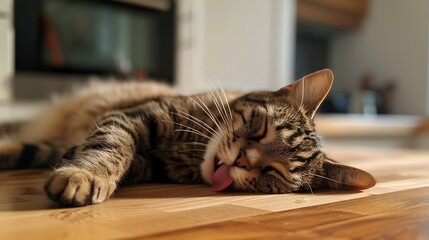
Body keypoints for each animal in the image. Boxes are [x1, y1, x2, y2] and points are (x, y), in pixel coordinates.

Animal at [0, 69, 374, 206]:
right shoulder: (133, 116)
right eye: (260, 129)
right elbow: (112, 146)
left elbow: (123, 158)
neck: (188, 153)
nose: (242, 160)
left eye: (273, 173)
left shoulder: (148, 162)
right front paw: (86, 174)